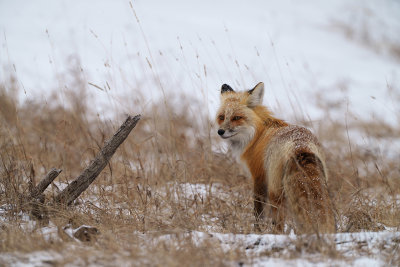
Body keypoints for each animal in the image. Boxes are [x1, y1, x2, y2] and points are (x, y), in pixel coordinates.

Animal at [216, 82, 334, 233]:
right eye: (222, 117)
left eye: (236, 117)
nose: (220, 131)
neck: (258, 134)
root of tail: (300, 146)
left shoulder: (259, 177)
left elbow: (258, 212)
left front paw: (257, 231)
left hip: (275, 192)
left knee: (278, 222)